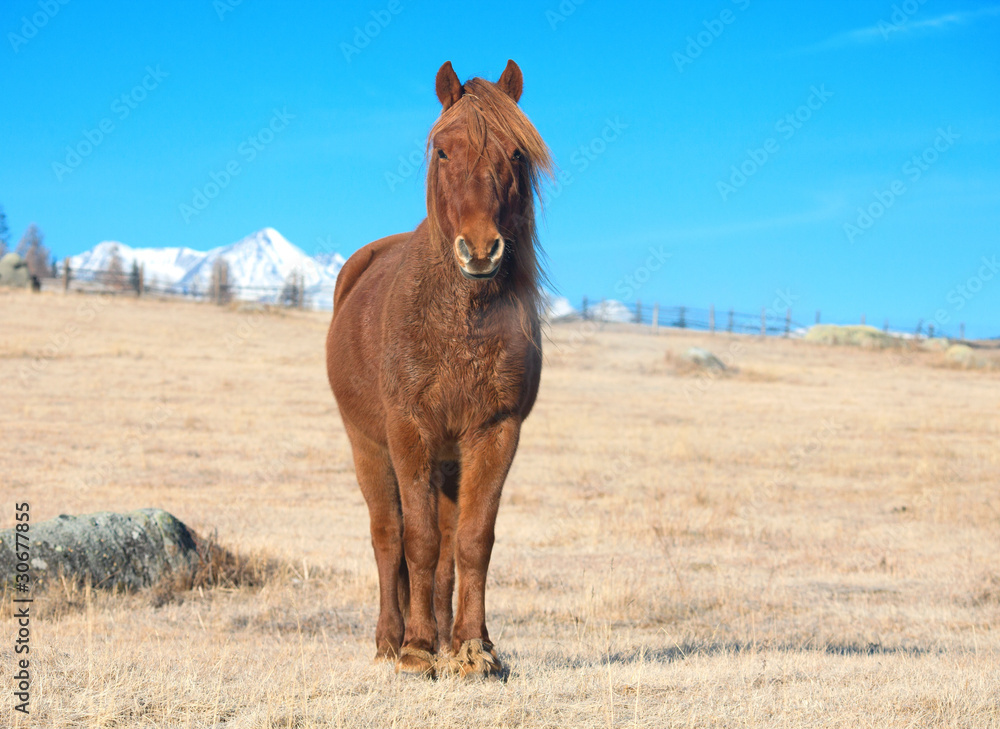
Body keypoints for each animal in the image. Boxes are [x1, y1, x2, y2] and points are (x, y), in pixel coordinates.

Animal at [326, 59, 552, 678]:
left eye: (516, 153)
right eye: (444, 150)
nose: (480, 250)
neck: (459, 321)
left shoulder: (495, 432)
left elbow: (472, 540)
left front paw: (474, 648)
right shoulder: (409, 432)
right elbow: (418, 541)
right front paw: (417, 649)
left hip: (449, 461)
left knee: (448, 548)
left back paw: (453, 643)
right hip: (367, 445)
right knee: (387, 538)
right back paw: (390, 641)